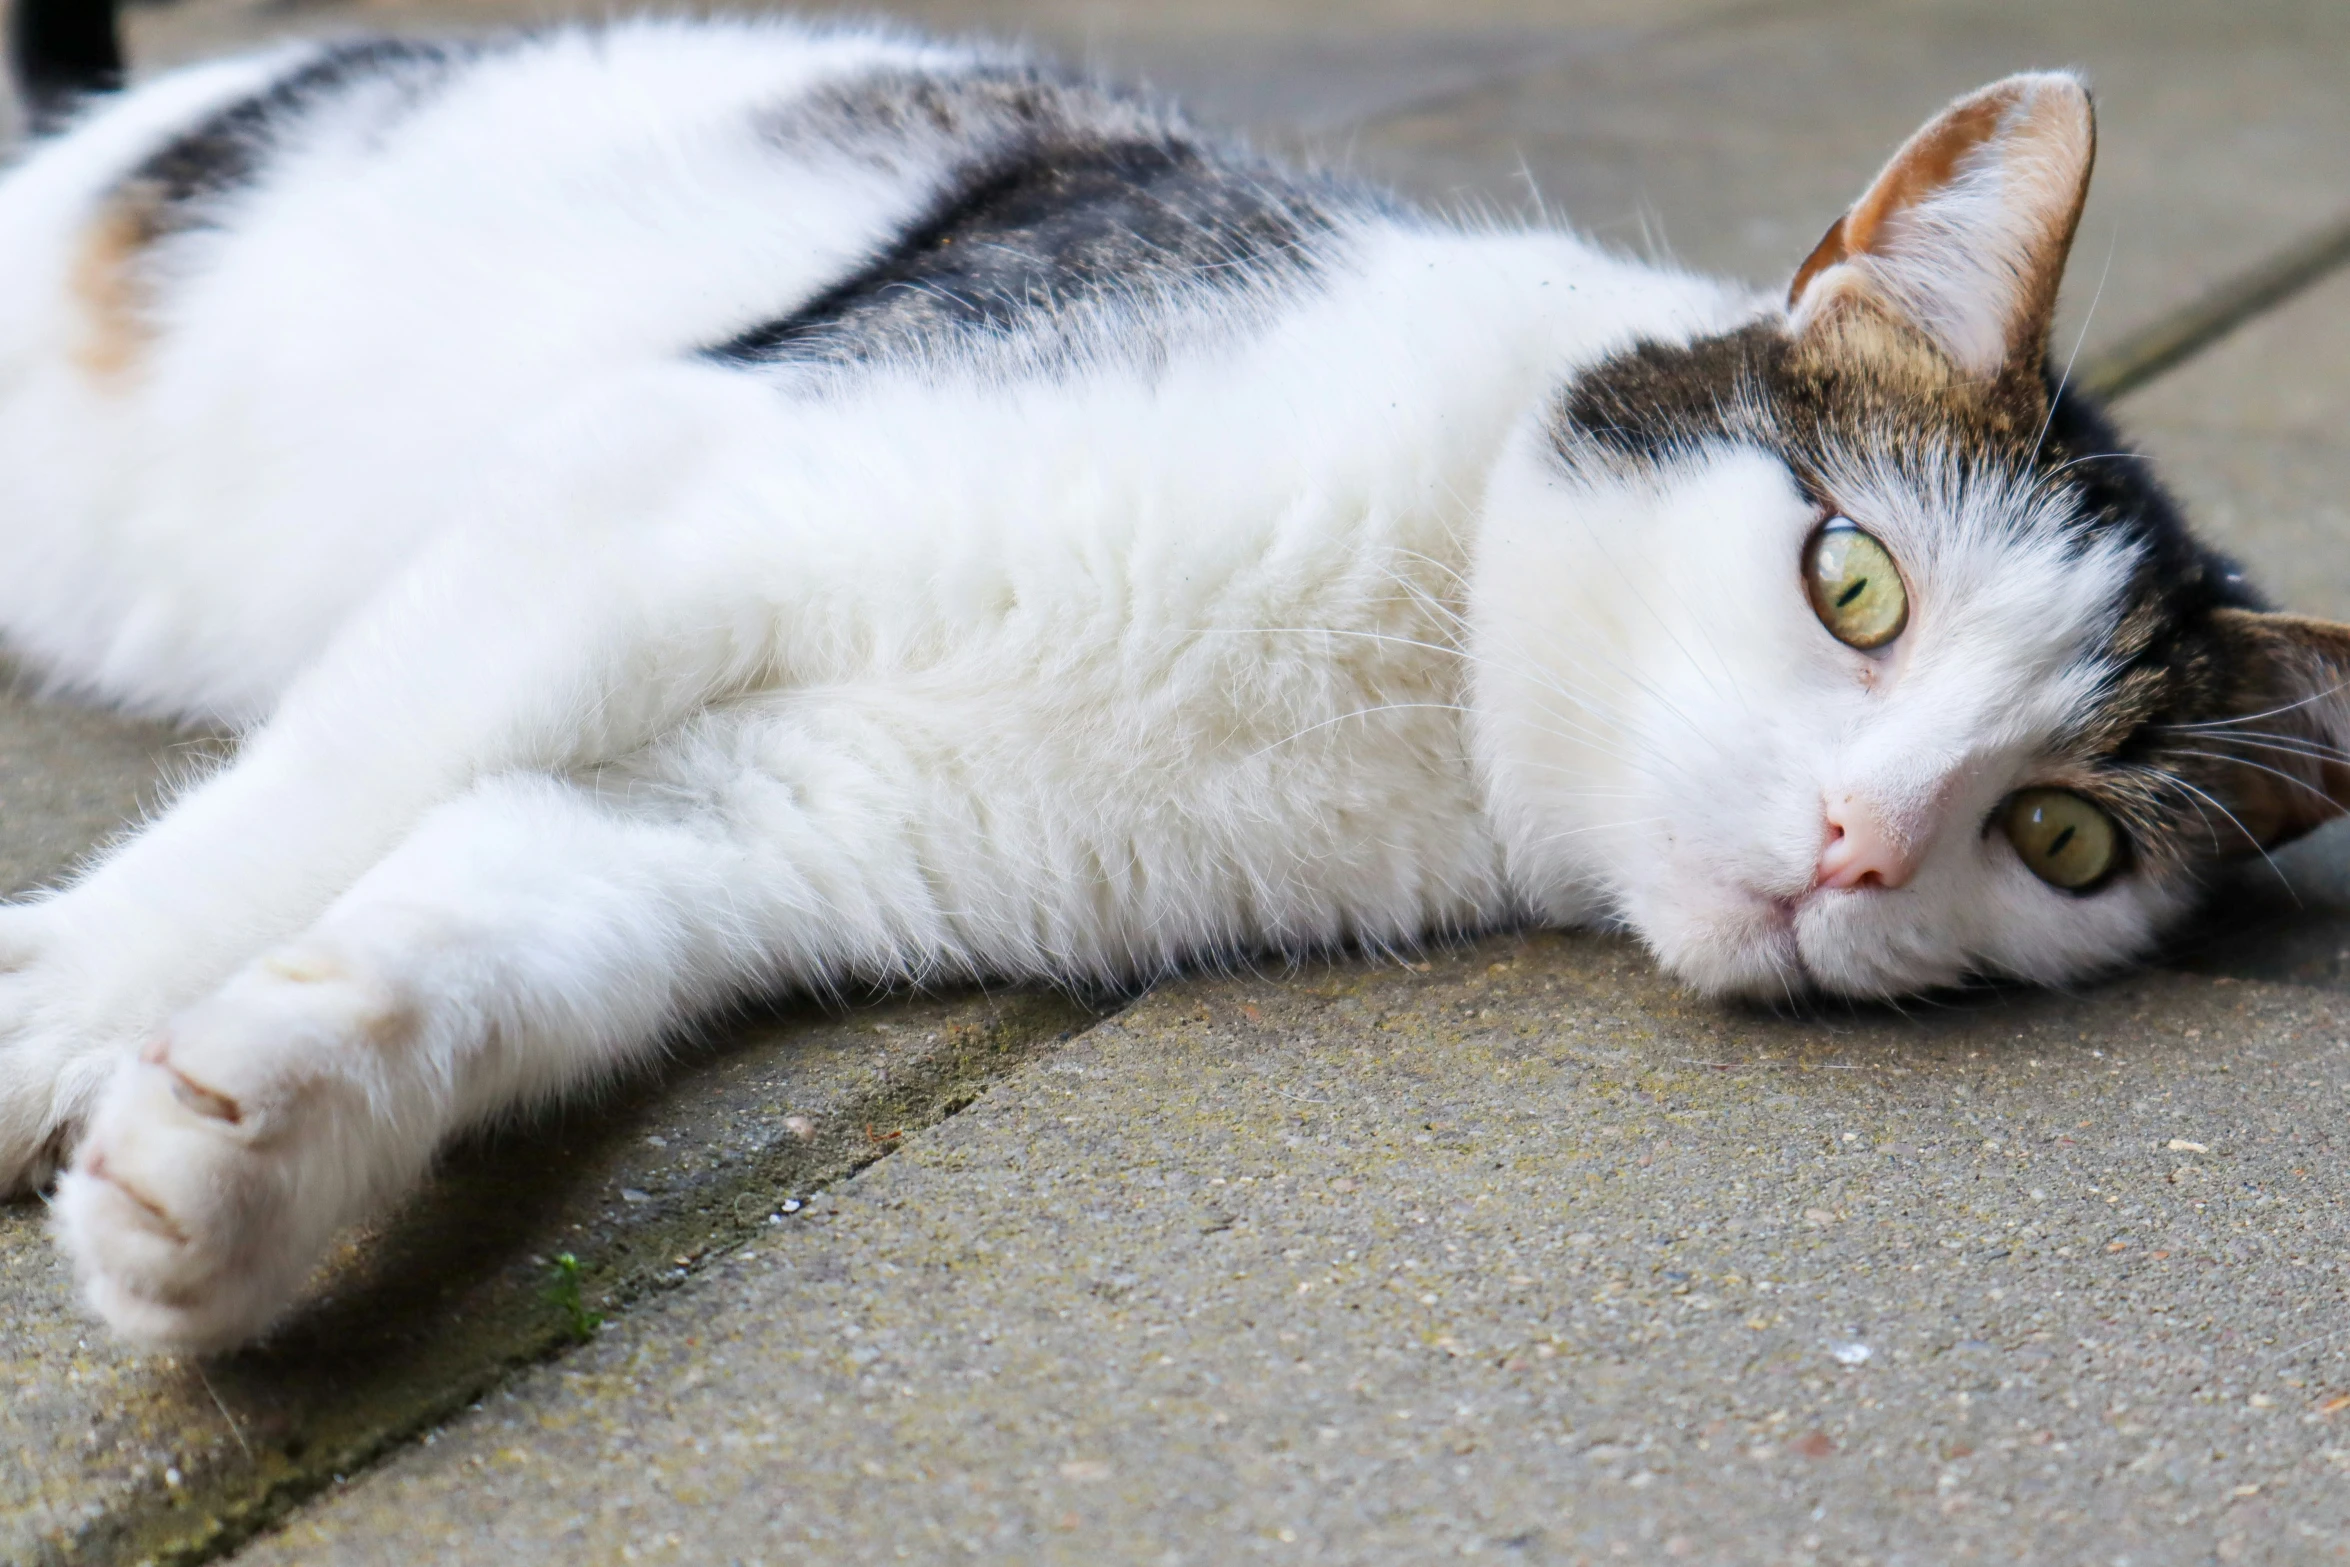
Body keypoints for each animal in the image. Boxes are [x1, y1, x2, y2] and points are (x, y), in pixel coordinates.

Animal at [0, 0, 2331, 1353]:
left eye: (2057, 838)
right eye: (1853, 582)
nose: (1856, 847)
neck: (1408, 671)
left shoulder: (761, 822)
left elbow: (498, 892)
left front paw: (229, 1159)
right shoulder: (652, 489)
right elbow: (322, 794)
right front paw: (50, 1009)